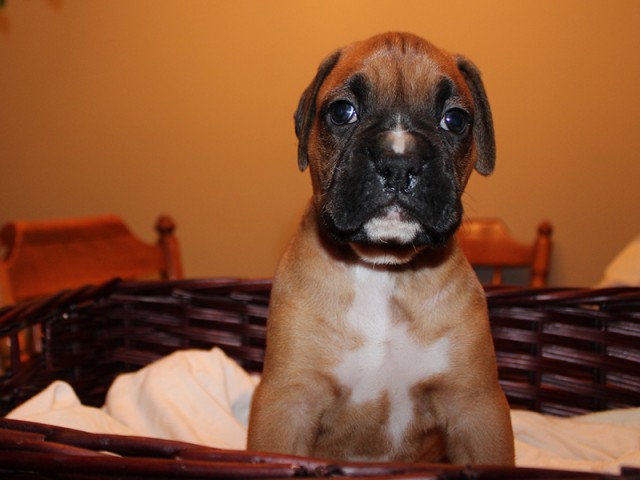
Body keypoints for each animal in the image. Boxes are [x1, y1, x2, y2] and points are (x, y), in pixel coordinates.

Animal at [248, 32, 516, 464]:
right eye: (342, 112)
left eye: (455, 120)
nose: (399, 162)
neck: (383, 270)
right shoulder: (286, 405)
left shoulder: (476, 408)